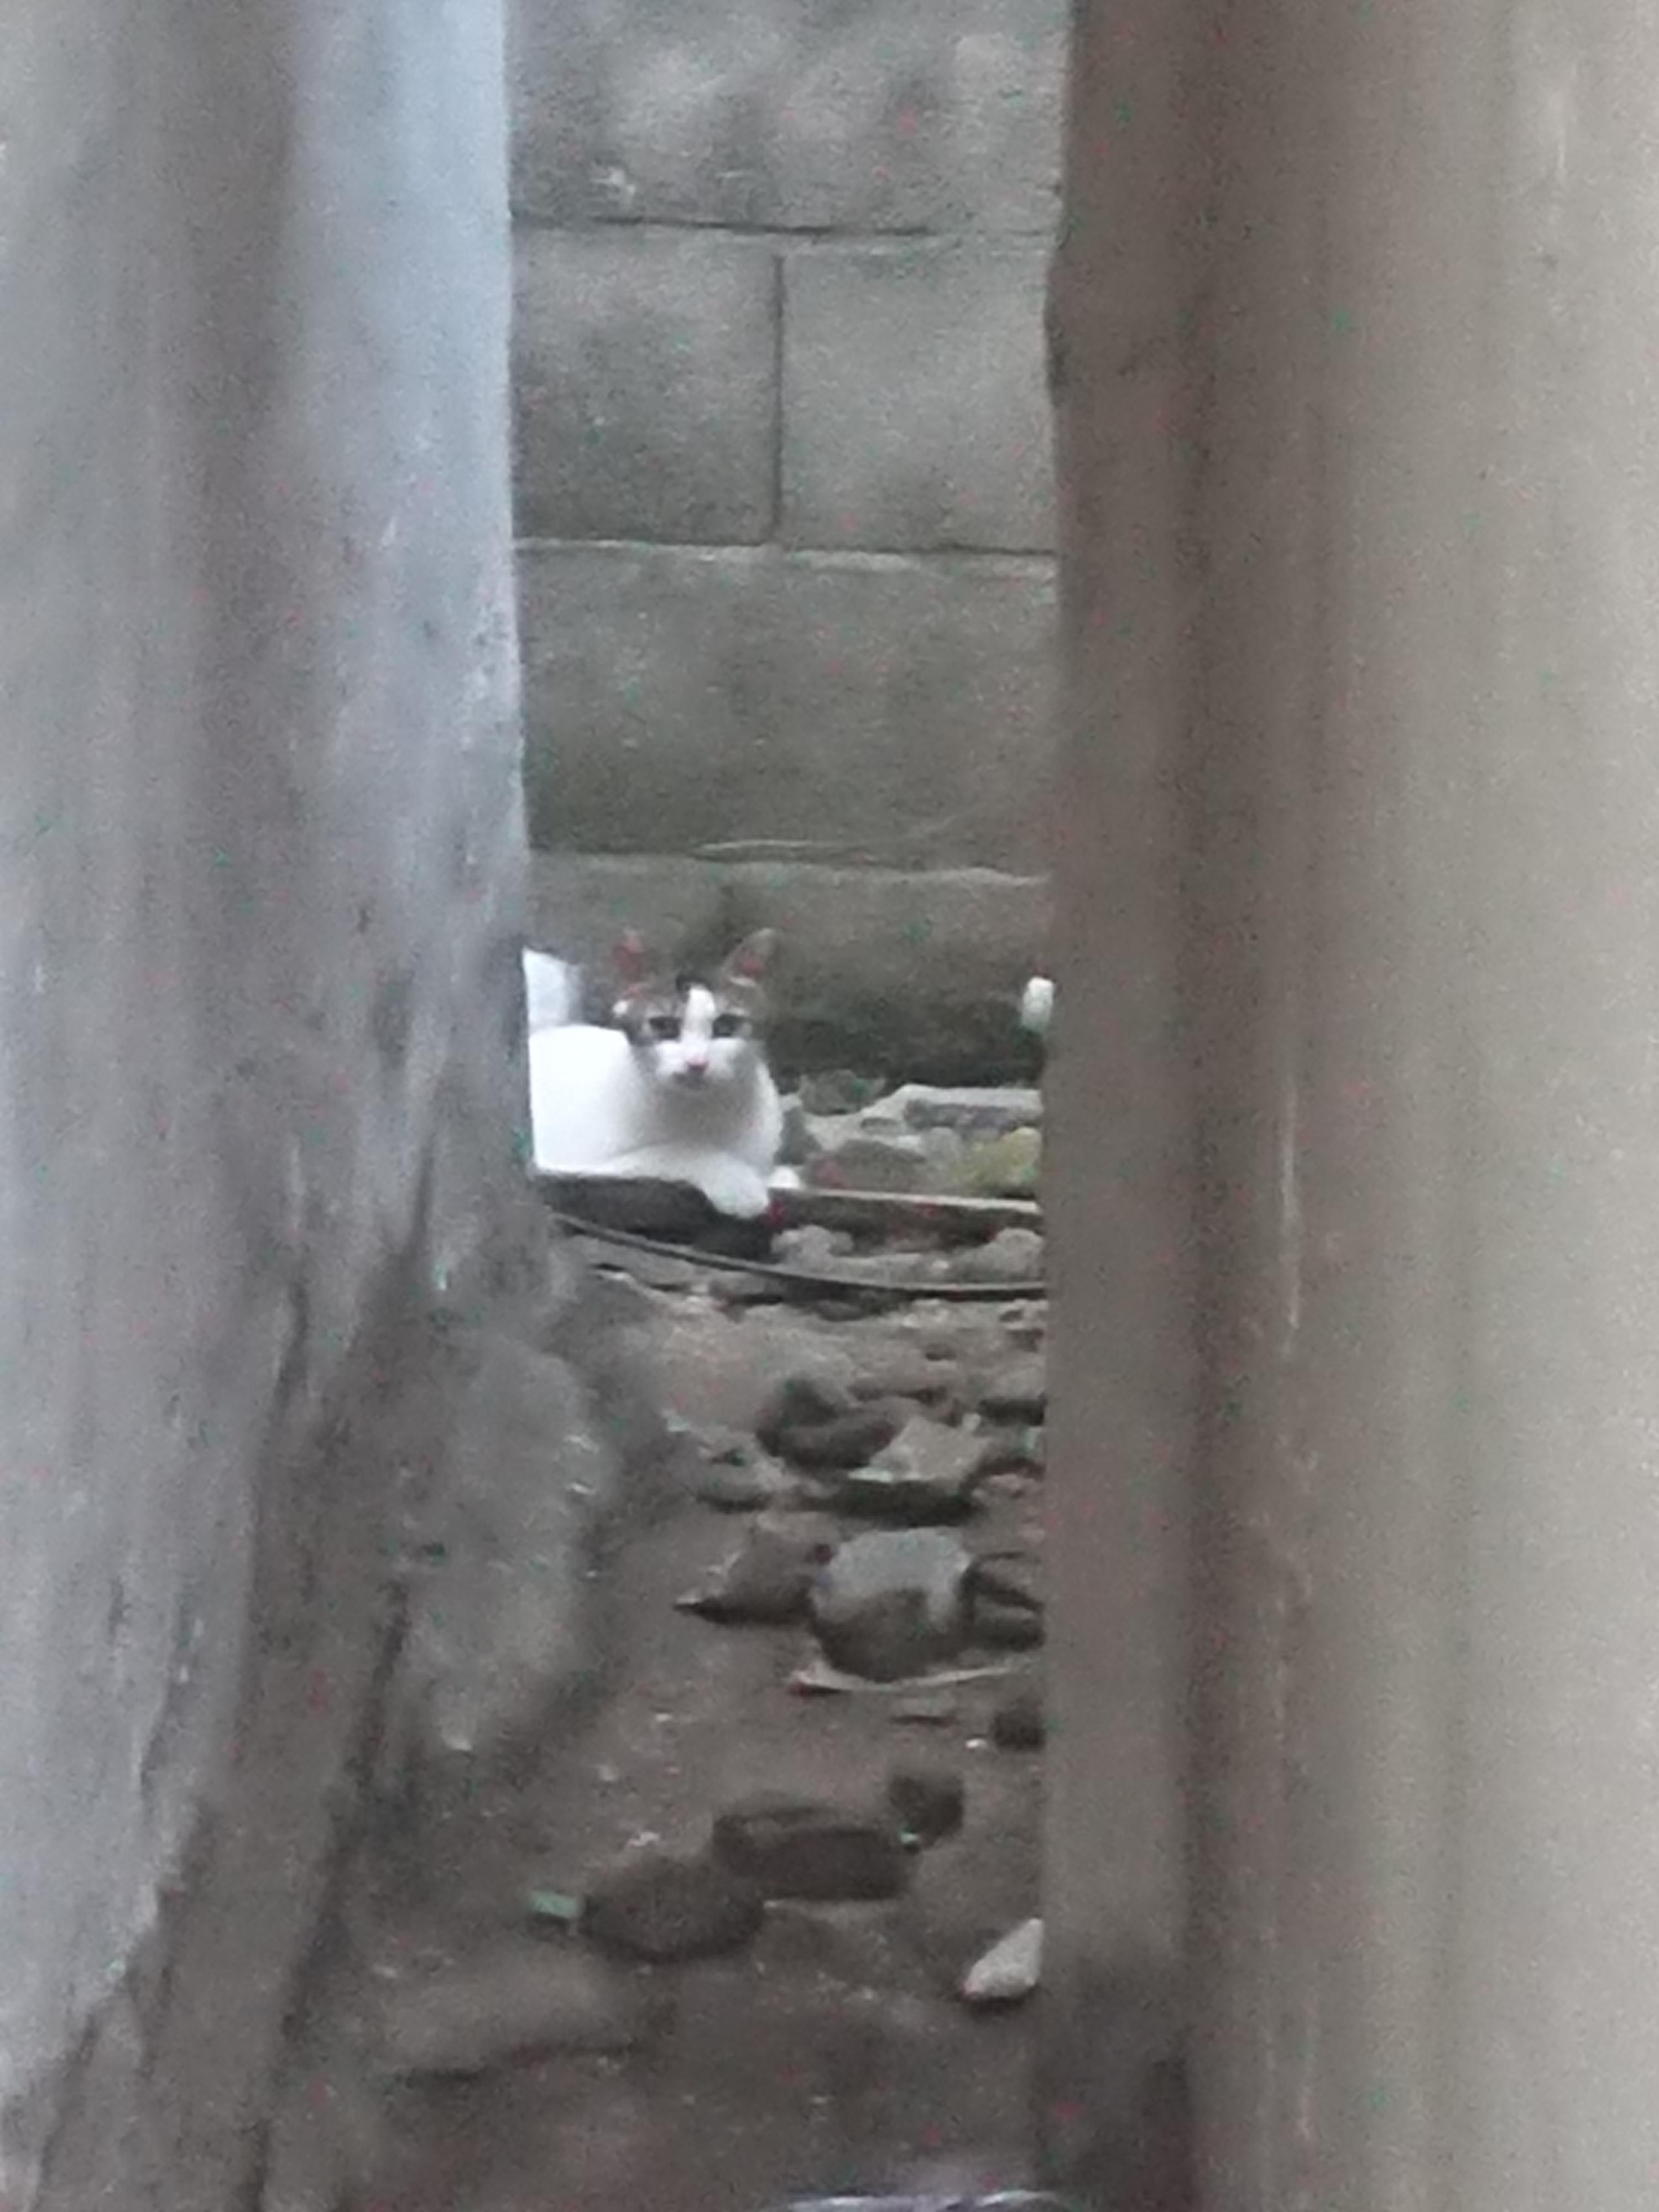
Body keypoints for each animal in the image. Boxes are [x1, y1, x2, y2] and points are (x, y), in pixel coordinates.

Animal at [523, 928, 785, 1219]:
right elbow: (678, 1151)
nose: (697, 1063)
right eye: (665, 1026)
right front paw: (738, 1184)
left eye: (726, 1026)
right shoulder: (582, 1170)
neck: (703, 1111)